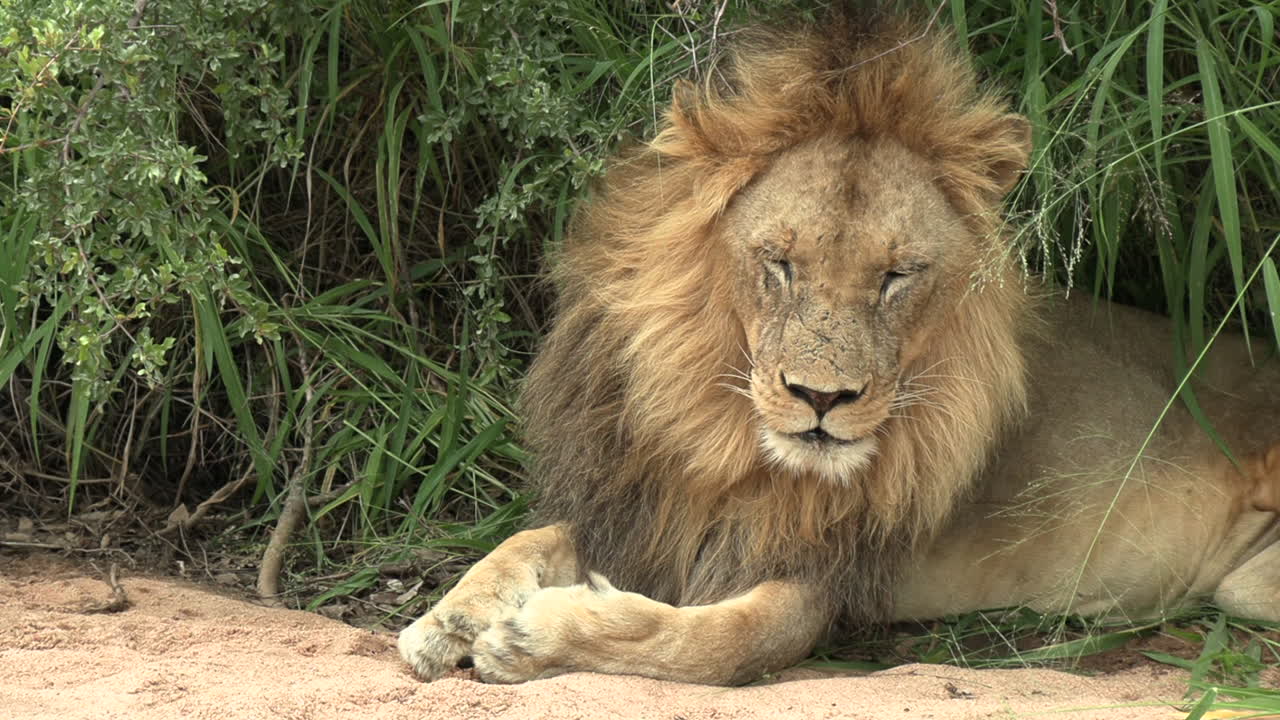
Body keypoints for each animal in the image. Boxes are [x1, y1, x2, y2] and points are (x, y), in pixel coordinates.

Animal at [398, 9, 1280, 685]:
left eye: (896, 277)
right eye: (781, 263)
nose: (822, 399)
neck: (723, 436)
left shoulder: (821, 575)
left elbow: (716, 642)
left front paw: (529, 636)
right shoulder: (644, 502)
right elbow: (531, 539)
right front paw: (450, 618)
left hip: (1248, 578)